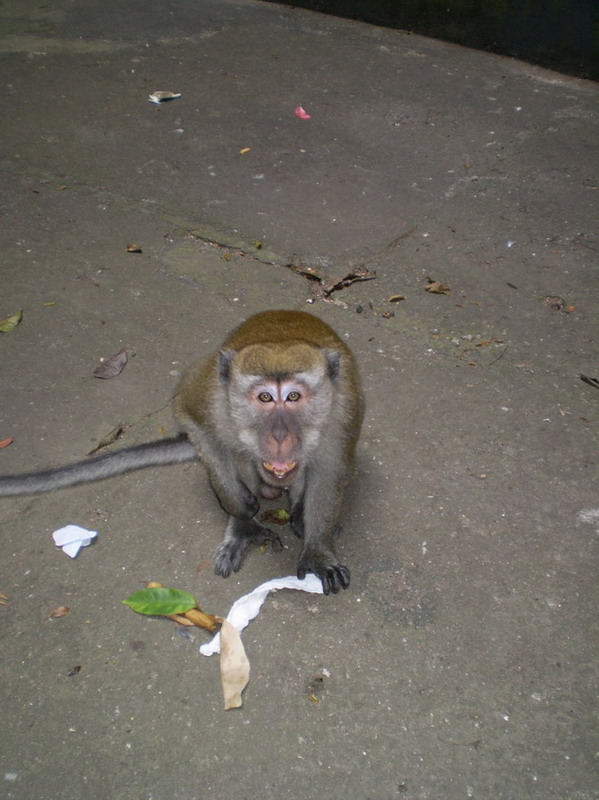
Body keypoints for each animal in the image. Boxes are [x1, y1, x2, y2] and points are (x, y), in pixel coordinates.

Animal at [0, 310, 364, 592]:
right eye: (264, 397)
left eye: (293, 397)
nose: (278, 435)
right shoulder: (210, 396)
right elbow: (196, 423)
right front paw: (239, 508)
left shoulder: (344, 411)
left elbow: (331, 470)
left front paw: (318, 549)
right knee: (232, 452)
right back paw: (243, 525)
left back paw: (300, 513)